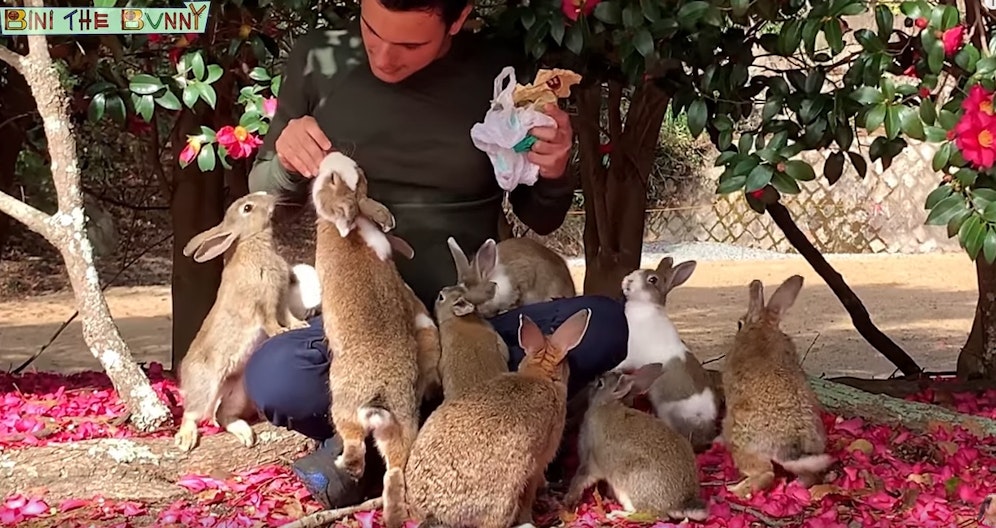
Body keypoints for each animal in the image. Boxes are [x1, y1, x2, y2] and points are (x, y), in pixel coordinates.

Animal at [173, 191, 310, 452]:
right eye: (247, 208)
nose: (270, 196)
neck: (250, 241)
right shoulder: (264, 302)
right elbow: (270, 321)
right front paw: (280, 332)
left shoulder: (280, 299)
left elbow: (288, 315)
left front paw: (300, 326)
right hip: (206, 387)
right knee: (193, 414)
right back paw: (186, 439)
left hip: (239, 391)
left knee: (224, 415)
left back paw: (245, 434)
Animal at [311, 150, 439, 528]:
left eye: (332, 180)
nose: (330, 154)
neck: (353, 225)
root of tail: (379, 397)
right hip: (402, 425)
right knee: (395, 470)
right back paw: (393, 515)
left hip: (343, 404)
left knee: (355, 448)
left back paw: (343, 464)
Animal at [564, 364, 709, 523]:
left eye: (600, 383)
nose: (593, 380)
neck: (606, 403)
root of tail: (679, 503)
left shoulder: (591, 460)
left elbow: (582, 477)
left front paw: (569, 499)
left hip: (628, 487)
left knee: (651, 514)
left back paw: (616, 514)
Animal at [722, 275, 833, 499]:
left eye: (739, 323)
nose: (738, 325)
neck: (764, 327)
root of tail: (789, 447)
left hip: (742, 444)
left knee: (765, 473)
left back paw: (736, 490)